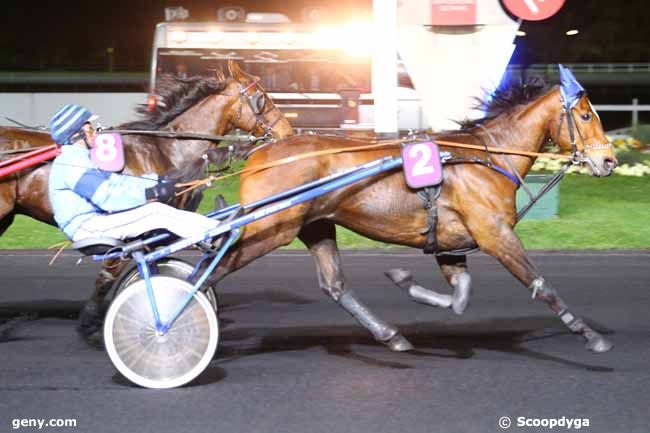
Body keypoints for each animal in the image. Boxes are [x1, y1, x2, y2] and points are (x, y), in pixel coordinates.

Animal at [0, 60, 292, 342]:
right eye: (261, 98)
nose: (287, 131)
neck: (165, 149)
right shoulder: (124, 231)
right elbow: (111, 275)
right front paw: (93, 325)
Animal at [205, 77, 616, 352]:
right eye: (585, 116)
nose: (608, 161)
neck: (487, 158)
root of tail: (262, 150)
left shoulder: (452, 243)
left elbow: (460, 296)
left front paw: (406, 282)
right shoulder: (495, 234)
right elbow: (541, 284)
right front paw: (589, 334)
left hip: (314, 226)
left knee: (335, 285)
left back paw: (390, 335)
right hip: (270, 226)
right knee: (218, 265)